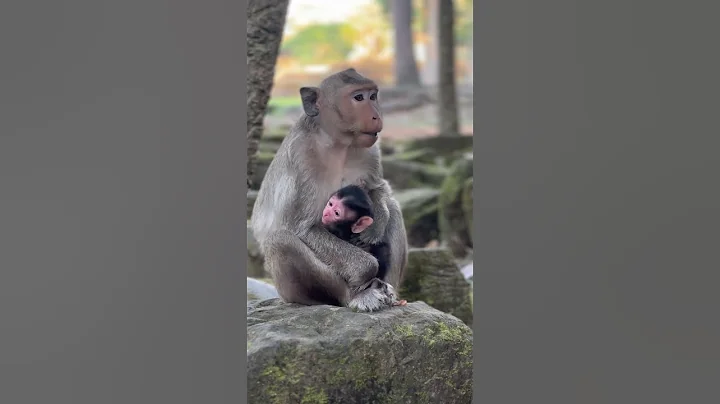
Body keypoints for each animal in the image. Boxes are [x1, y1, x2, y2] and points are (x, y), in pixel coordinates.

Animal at [250, 68, 409, 312]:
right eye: (358, 98)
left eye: (373, 96)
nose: (376, 115)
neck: (338, 143)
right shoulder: (302, 156)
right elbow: (301, 228)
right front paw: (366, 268)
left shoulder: (370, 149)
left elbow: (378, 188)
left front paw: (376, 225)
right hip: (292, 292)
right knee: (280, 240)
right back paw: (357, 295)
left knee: (393, 207)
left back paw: (389, 291)